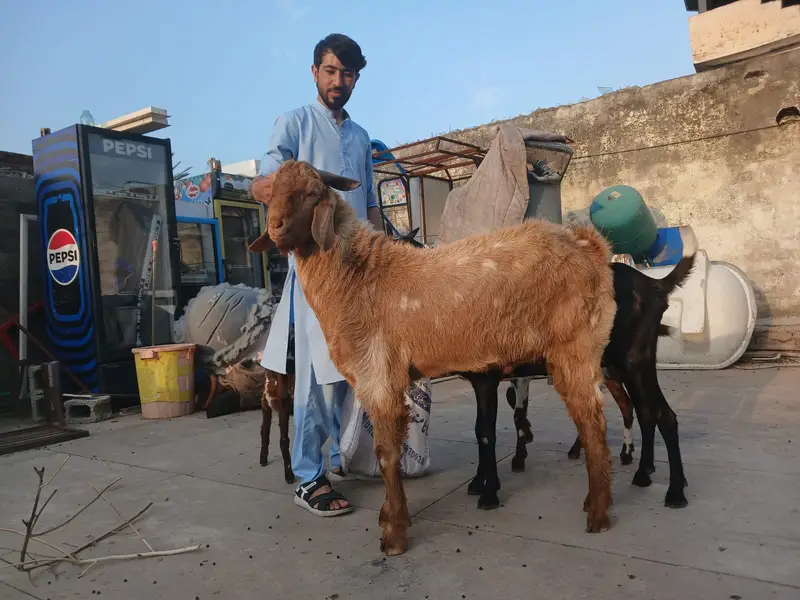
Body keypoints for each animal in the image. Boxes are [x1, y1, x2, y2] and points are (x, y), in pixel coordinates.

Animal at [248, 159, 617, 556]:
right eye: (271, 193)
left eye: (312, 193)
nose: (276, 227)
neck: (359, 277)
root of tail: (589, 246)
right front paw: (395, 517)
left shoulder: (379, 376)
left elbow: (386, 455)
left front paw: (394, 533)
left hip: (576, 346)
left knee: (593, 424)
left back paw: (598, 513)